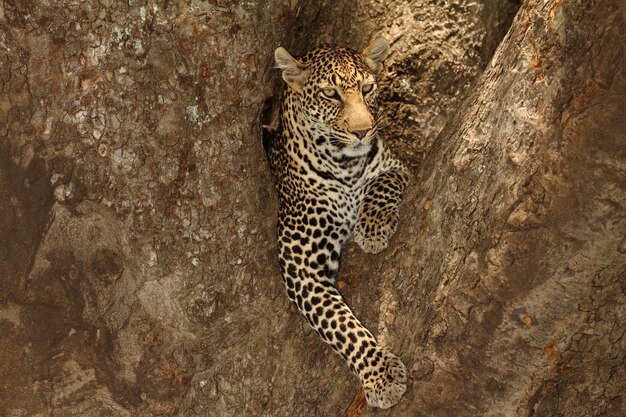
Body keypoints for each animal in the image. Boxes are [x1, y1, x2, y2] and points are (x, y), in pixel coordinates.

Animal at [266, 37, 410, 408]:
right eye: (331, 94)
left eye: (367, 88)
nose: (362, 132)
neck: (344, 166)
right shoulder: (301, 264)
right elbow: (340, 324)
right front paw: (380, 375)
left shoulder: (395, 167)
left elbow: (381, 183)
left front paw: (372, 228)